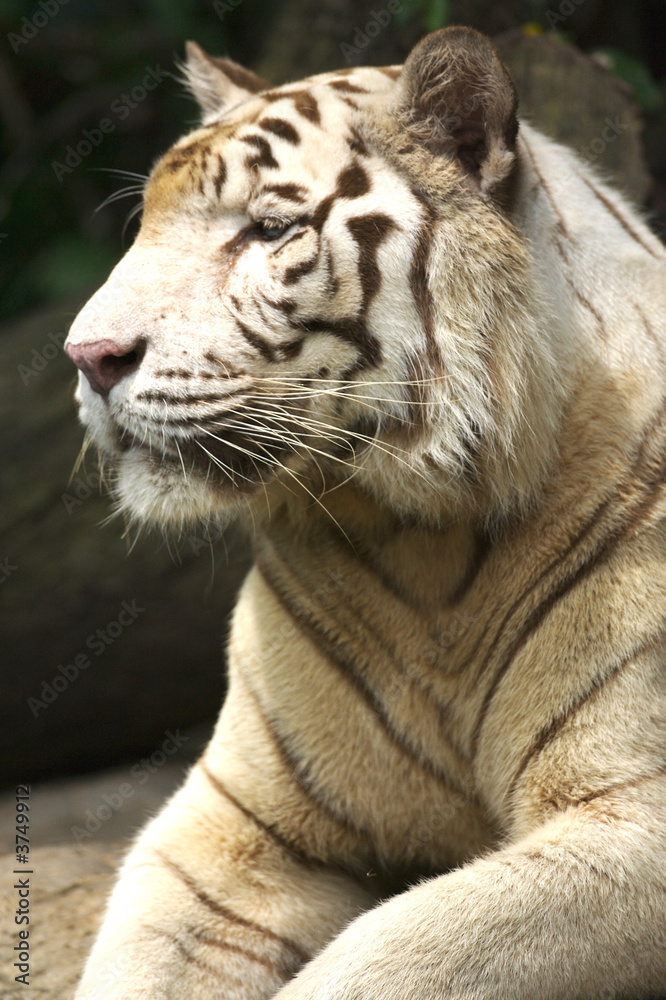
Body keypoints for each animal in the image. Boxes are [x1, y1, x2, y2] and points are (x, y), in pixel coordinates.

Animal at [64, 25, 666, 1000]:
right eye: (142, 227)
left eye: (268, 229)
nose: (87, 356)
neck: (421, 541)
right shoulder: (236, 826)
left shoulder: (632, 809)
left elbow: (393, 959)